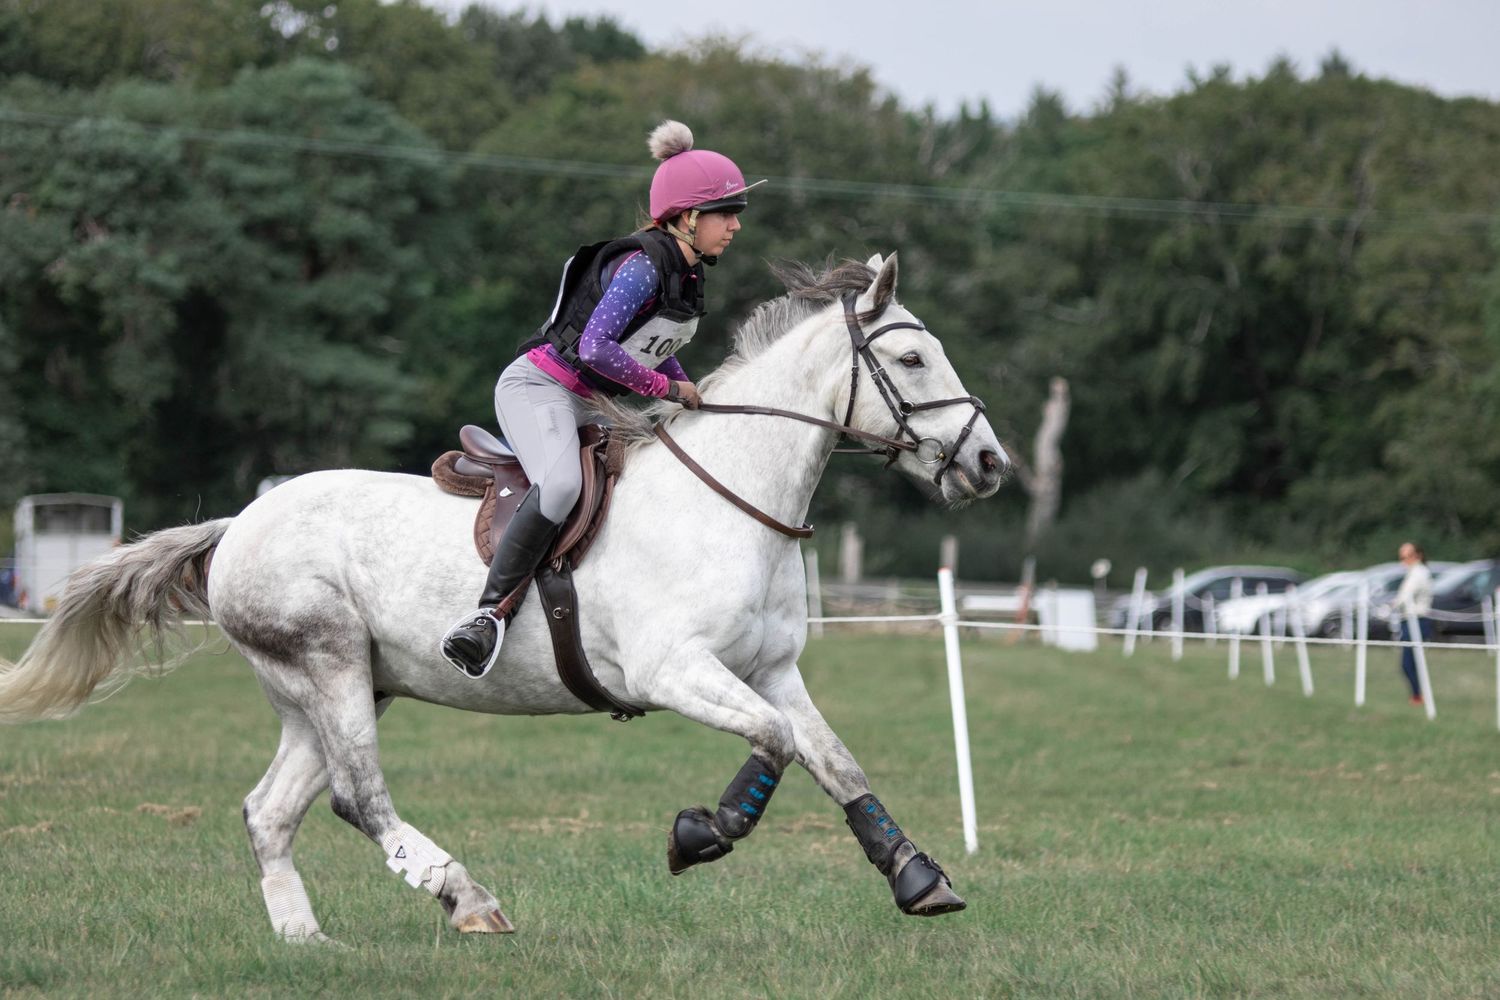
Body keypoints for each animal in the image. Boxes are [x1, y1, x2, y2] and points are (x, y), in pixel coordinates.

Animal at [0, 253, 1008, 942]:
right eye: (912, 361)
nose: (992, 465)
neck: (730, 497)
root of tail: (239, 523)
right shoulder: (675, 669)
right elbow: (776, 744)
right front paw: (699, 835)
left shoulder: (771, 669)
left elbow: (835, 762)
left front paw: (918, 879)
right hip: (327, 663)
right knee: (359, 798)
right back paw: (467, 898)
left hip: (333, 690)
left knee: (271, 811)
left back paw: (305, 940)